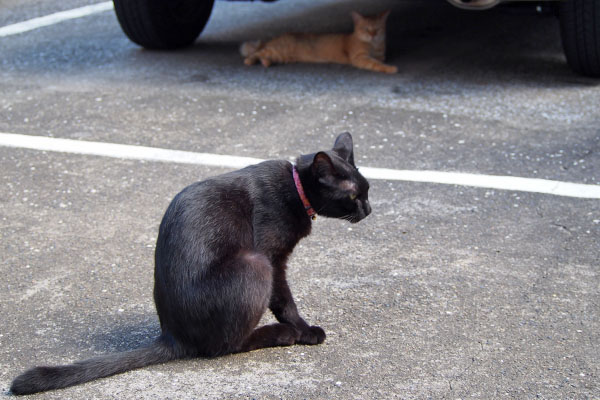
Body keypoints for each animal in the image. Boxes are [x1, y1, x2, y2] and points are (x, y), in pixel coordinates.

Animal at [11, 133, 370, 396]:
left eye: (367, 190)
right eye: (354, 196)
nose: (369, 209)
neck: (296, 188)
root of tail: (173, 335)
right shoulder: (273, 258)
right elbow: (285, 302)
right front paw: (305, 330)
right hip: (254, 265)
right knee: (226, 346)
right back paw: (281, 334)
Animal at [241, 11, 396, 74]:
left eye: (378, 29)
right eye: (366, 29)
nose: (372, 35)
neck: (374, 45)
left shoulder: (380, 55)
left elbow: (379, 60)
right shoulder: (359, 57)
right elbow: (376, 64)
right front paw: (391, 68)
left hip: (280, 56)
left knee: (262, 56)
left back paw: (265, 62)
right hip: (276, 50)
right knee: (255, 53)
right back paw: (250, 61)